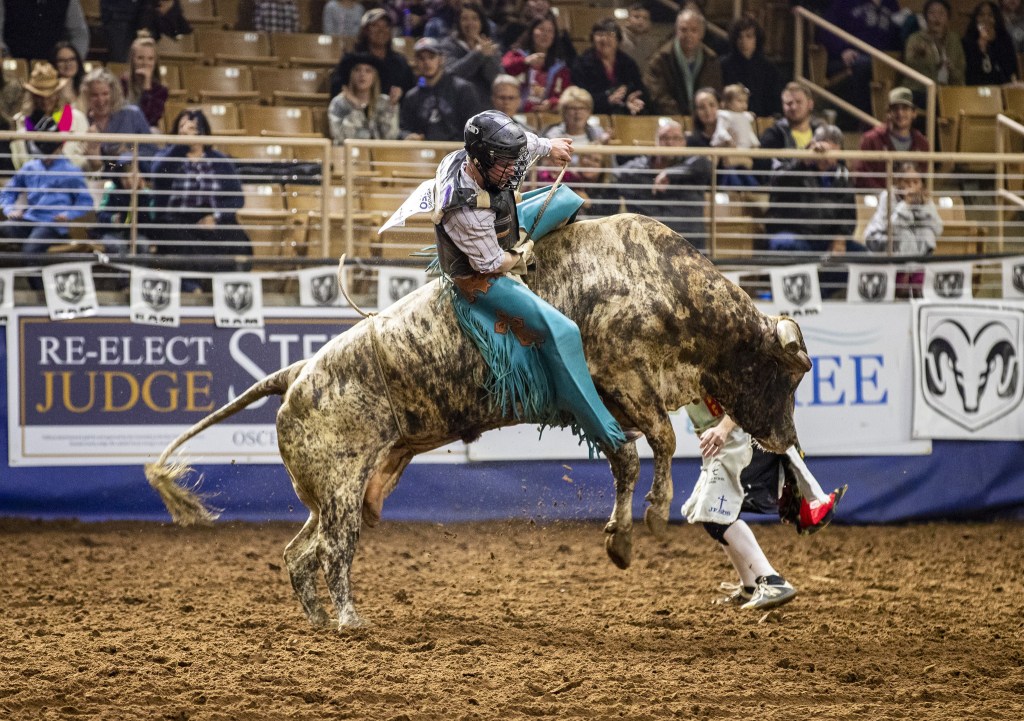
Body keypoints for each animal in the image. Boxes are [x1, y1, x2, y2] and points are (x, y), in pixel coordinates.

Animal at [146, 214, 812, 629]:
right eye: (790, 373)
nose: (785, 439)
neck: (662, 283)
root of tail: (298, 373)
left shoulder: (615, 397)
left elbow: (629, 453)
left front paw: (622, 535)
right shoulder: (623, 378)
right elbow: (658, 442)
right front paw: (645, 519)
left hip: (331, 492)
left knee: (299, 554)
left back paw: (316, 620)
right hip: (338, 486)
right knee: (333, 551)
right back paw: (348, 620)